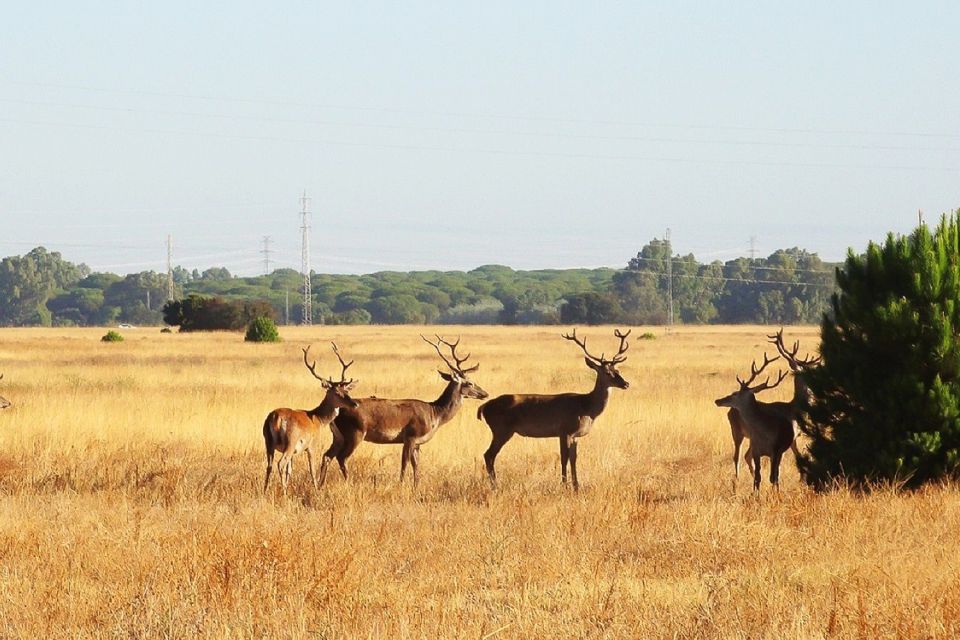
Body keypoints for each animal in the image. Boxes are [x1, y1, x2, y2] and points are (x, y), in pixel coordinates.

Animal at [262, 344, 360, 496]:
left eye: (347, 391)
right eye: (336, 393)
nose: (355, 404)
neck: (317, 419)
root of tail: (275, 417)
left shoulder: (294, 452)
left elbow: (290, 471)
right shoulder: (312, 444)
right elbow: (312, 470)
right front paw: (316, 489)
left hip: (268, 441)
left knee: (269, 466)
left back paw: (265, 491)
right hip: (291, 440)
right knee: (280, 463)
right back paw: (284, 494)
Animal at [320, 336, 492, 484]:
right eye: (469, 382)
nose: (485, 393)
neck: (435, 414)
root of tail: (337, 413)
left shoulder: (417, 443)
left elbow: (416, 465)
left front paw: (416, 485)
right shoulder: (410, 436)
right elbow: (405, 463)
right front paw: (401, 484)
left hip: (338, 436)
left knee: (327, 456)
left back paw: (320, 484)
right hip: (355, 433)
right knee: (341, 457)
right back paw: (347, 482)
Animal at [474, 330, 632, 490]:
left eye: (617, 369)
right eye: (606, 372)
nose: (626, 383)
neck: (586, 408)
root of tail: (484, 407)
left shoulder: (574, 435)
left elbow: (574, 458)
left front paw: (576, 486)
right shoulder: (564, 430)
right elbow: (564, 458)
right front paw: (564, 485)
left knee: (489, 455)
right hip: (502, 429)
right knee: (489, 454)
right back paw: (495, 486)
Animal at [712, 352, 796, 492]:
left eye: (735, 393)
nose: (718, 400)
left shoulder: (776, 450)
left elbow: (772, 477)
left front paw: (774, 495)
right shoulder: (756, 450)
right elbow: (758, 478)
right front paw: (755, 494)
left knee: (776, 475)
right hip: (738, 434)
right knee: (739, 457)